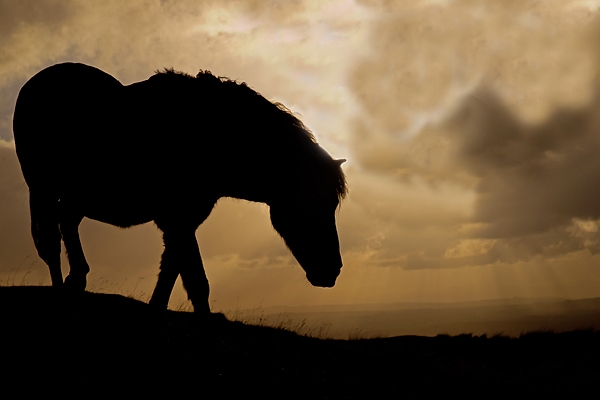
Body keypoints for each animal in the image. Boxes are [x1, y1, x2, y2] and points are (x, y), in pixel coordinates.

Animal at [14, 62, 346, 314]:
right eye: (309, 204)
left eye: (332, 205)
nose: (332, 271)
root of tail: (36, 82)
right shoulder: (177, 221)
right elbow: (196, 281)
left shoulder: (183, 222)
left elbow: (175, 272)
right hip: (42, 188)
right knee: (51, 240)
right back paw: (62, 288)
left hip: (75, 196)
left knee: (66, 223)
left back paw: (77, 279)